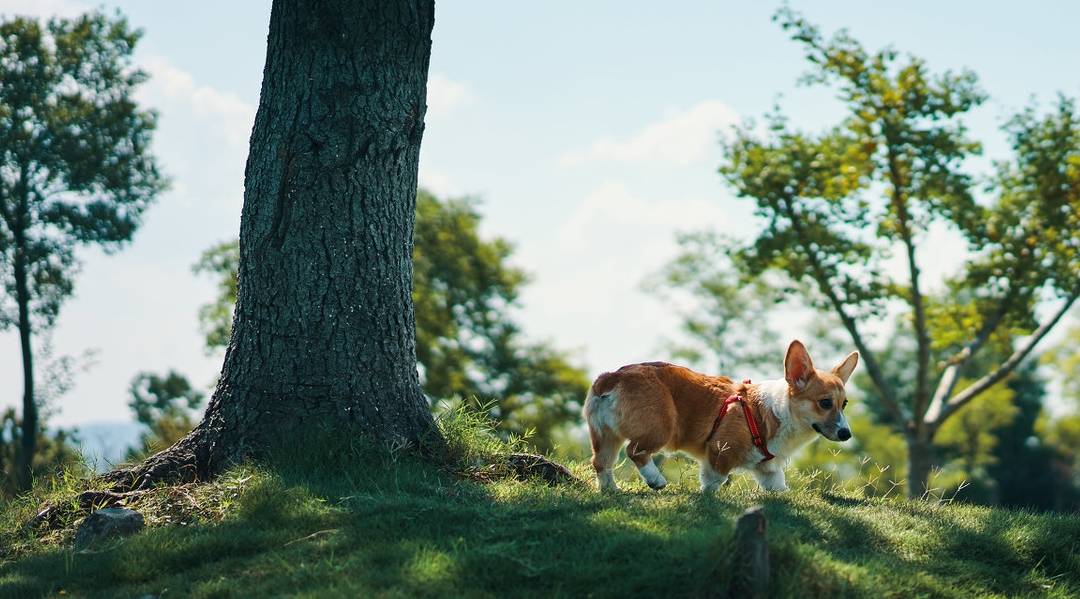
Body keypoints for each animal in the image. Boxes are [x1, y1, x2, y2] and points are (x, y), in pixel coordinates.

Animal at [587, 338, 855, 494]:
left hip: (604, 436)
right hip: (660, 428)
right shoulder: (719, 452)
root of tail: (611, 377)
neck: (778, 410)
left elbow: (778, 487)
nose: (846, 434)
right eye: (825, 403)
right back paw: (656, 480)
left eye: (844, 404)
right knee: (635, 451)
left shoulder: (769, 471)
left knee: (601, 462)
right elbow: (713, 482)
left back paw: (611, 490)